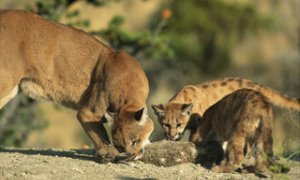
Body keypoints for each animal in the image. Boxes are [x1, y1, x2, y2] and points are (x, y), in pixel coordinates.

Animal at [0, 9, 154, 160]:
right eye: (121, 145)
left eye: (134, 141)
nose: (131, 155)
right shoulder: (88, 112)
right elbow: (100, 134)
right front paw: (107, 153)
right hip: (6, 81)